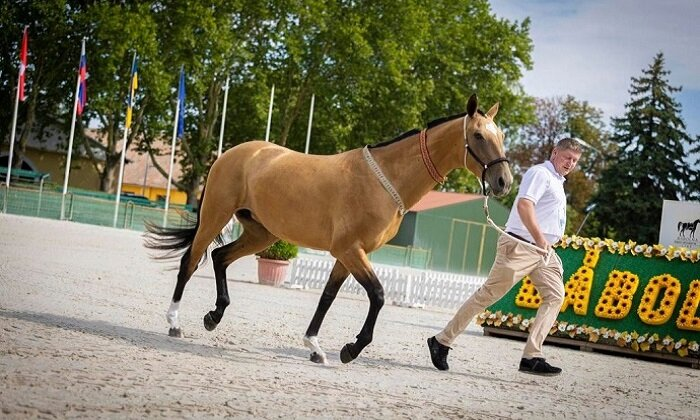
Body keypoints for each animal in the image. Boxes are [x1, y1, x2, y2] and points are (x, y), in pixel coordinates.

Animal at [144, 94, 516, 364]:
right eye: (478, 136)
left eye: (501, 136)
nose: (503, 182)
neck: (385, 179)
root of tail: (232, 153)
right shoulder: (350, 250)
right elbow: (378, 295)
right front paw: (351, 349)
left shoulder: (348, 254)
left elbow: (327, 297)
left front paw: (314, 346)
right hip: (216, 216)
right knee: (190, 262)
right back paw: (174, 322)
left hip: (262, 233)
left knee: (220, 257)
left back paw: (214, 315)